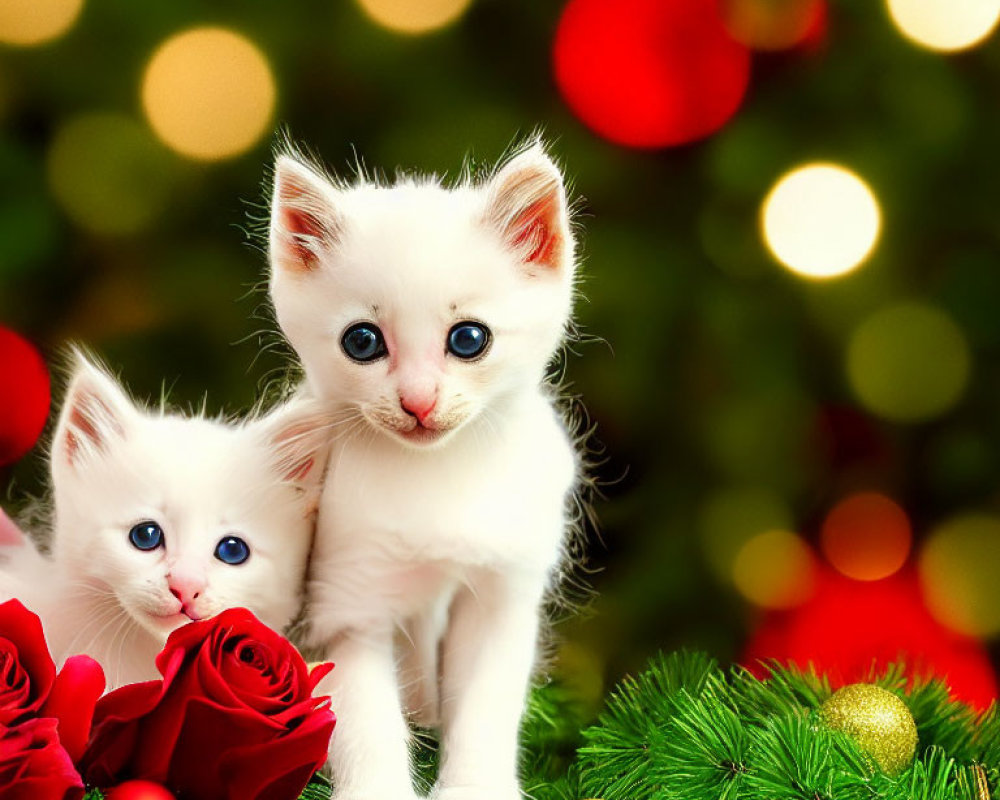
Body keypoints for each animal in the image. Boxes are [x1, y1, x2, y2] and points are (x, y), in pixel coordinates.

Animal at [270, 142, 584, 800]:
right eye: (362, 342)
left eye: (468, 339)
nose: (418, 402)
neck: (435, 476)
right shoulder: (349, 602)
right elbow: (366, 724)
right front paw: (377, 789)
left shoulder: (500, 595)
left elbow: (484, 712)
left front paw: (475, 787)